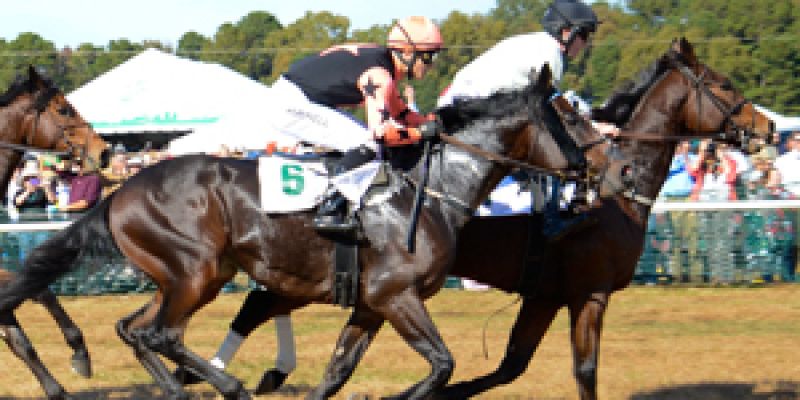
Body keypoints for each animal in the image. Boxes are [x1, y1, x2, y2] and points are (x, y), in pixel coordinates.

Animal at [194, 38, 776, 398]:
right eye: (724, 85)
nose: (767, 128)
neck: (616, 203)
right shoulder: (588, 291)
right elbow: (580, 371)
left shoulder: (545, 294)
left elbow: (509, 367)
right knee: (257, 304)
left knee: (260, 304)